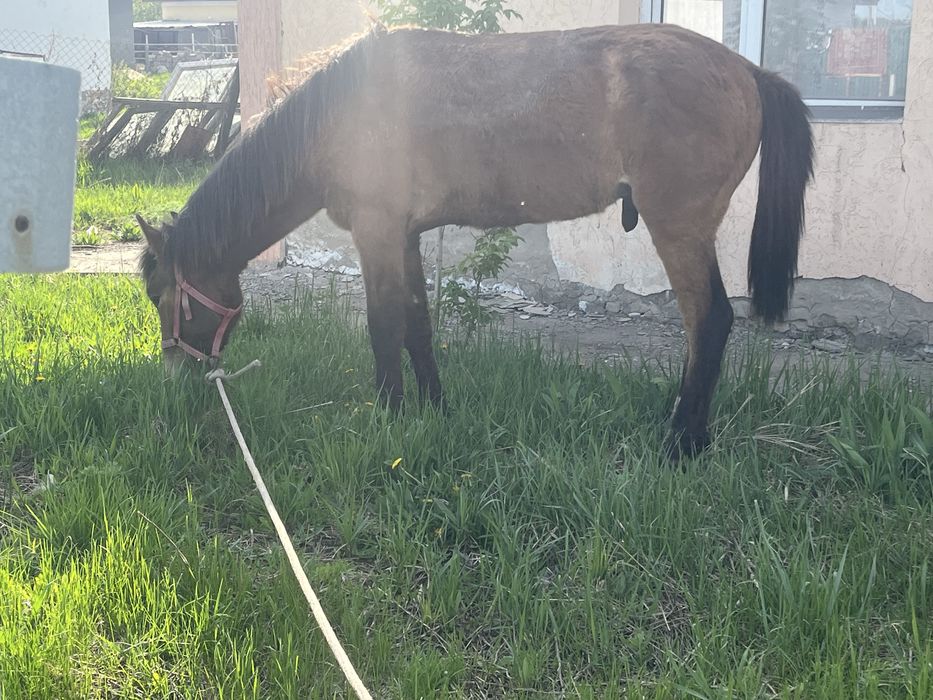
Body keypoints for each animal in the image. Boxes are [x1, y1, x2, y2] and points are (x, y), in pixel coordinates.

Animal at [137, 23, 814, 459]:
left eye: (165, 296)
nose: (174, 377)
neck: (340, 114)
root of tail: (749, 71)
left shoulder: (377, 234)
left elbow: (383, 326)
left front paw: (388, 415)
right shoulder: (405, 237)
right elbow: (416, 324)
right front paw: (433, 409)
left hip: (680, 228)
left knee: (710, 322)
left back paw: (682, 442)